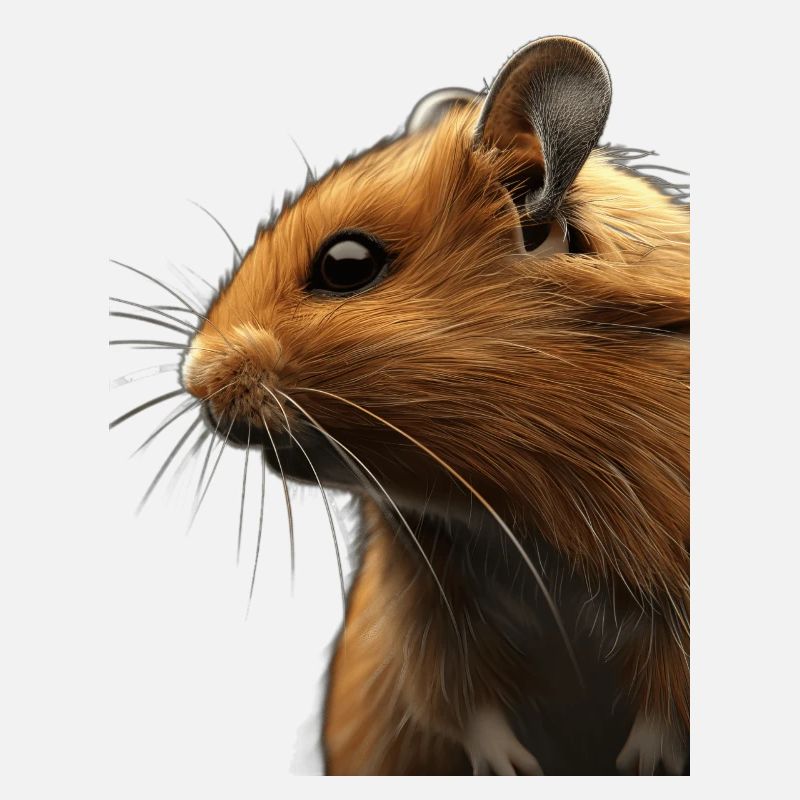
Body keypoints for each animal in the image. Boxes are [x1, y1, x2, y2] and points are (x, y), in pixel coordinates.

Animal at [114, 35, 689, 775]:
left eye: (346, 264)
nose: (193, 378)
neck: (510, 516)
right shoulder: (426, 596)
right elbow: (457, 696)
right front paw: (511, 769)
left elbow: (667, 705)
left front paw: (642, 766)